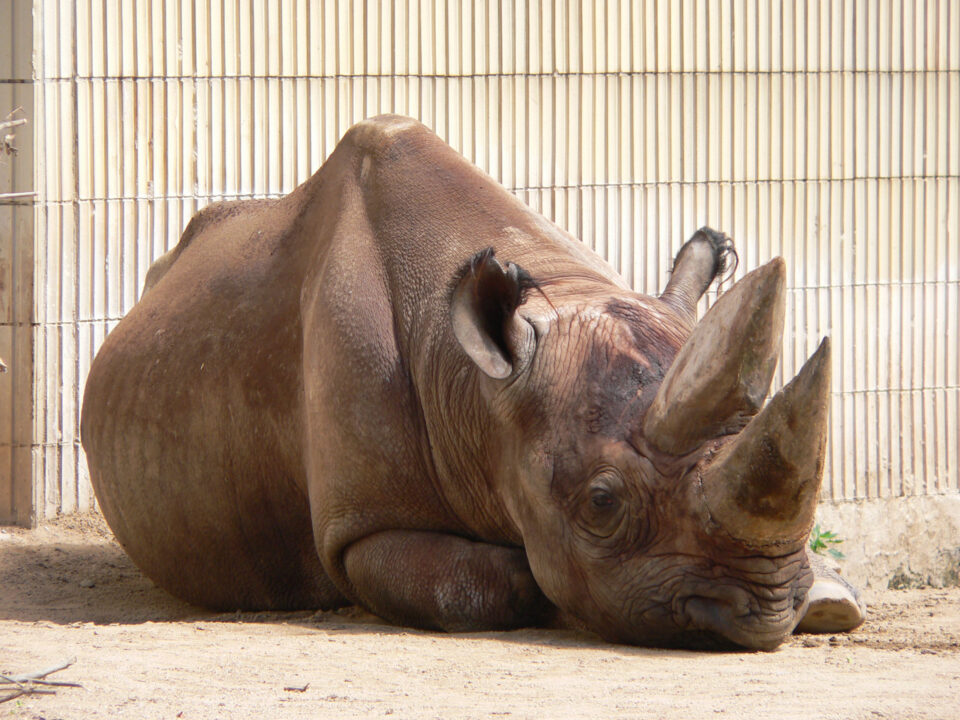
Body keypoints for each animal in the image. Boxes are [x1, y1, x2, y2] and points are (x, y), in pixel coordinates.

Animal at [81, 115, 864, 650]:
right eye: (602, 504)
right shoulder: (360, 529)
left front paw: (831, 595)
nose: (762, 613)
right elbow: (497, 581)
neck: (481, 395)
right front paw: (549, 595)